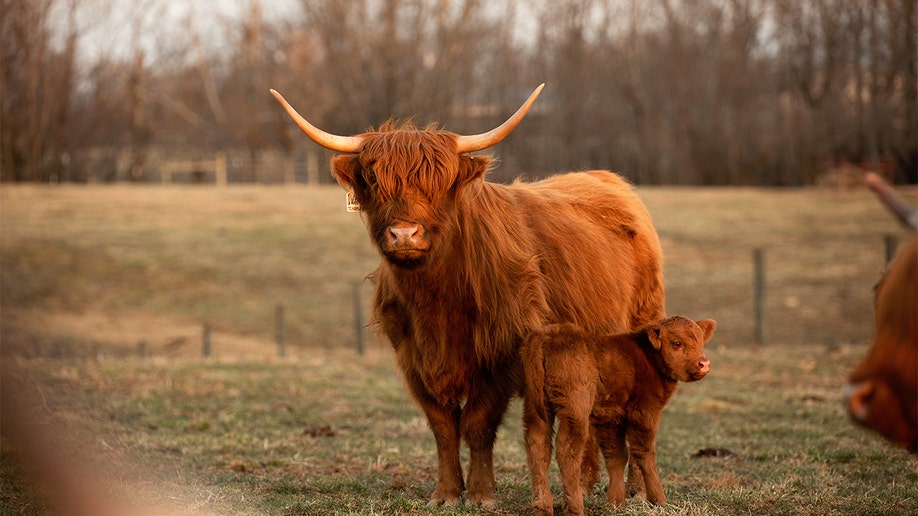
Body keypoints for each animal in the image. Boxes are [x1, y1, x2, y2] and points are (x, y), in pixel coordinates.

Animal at [520, 316, 716, 512]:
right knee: (567, 450)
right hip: (575, 411)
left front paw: (615, 502)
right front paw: (658, 500)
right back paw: (574, 507)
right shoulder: (644, 412)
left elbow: (616, 455)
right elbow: (645, 453)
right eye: (677, 343)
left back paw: (542, 507)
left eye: (701, 342)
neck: (647, 358)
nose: (704, 364)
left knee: (538, 446)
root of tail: (547, 335)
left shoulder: (610, 417)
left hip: (536, 410)